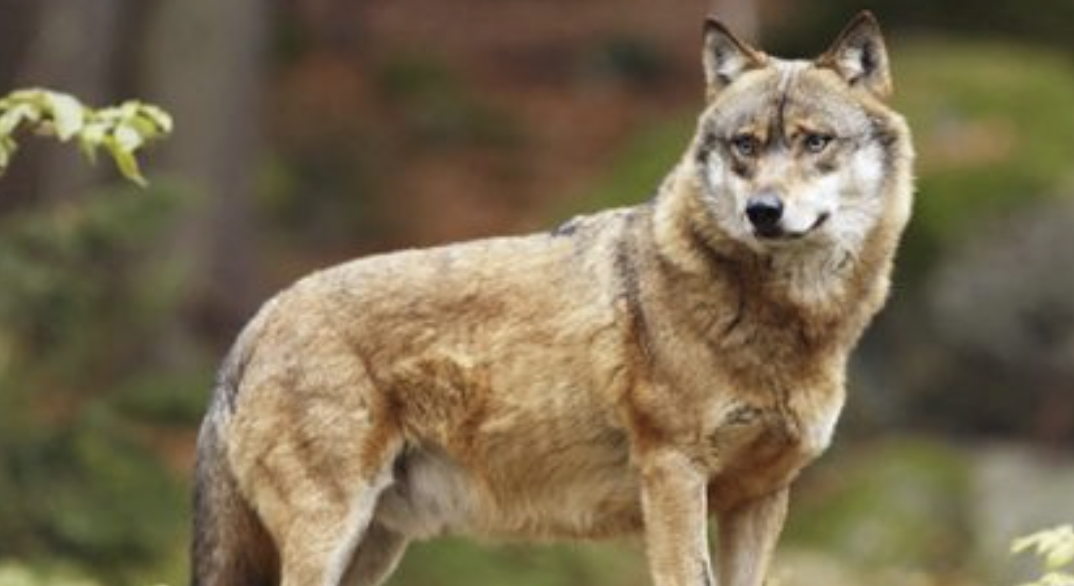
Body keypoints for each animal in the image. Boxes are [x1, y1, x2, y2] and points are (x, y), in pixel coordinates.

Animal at [192, 11, 913, 586]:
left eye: (815, 142)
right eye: (746, 145)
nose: (763, 211)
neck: (786, 319)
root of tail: (260, 318)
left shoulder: (760, 499)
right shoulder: (673, 475)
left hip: (373, 546)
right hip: (331, 536)